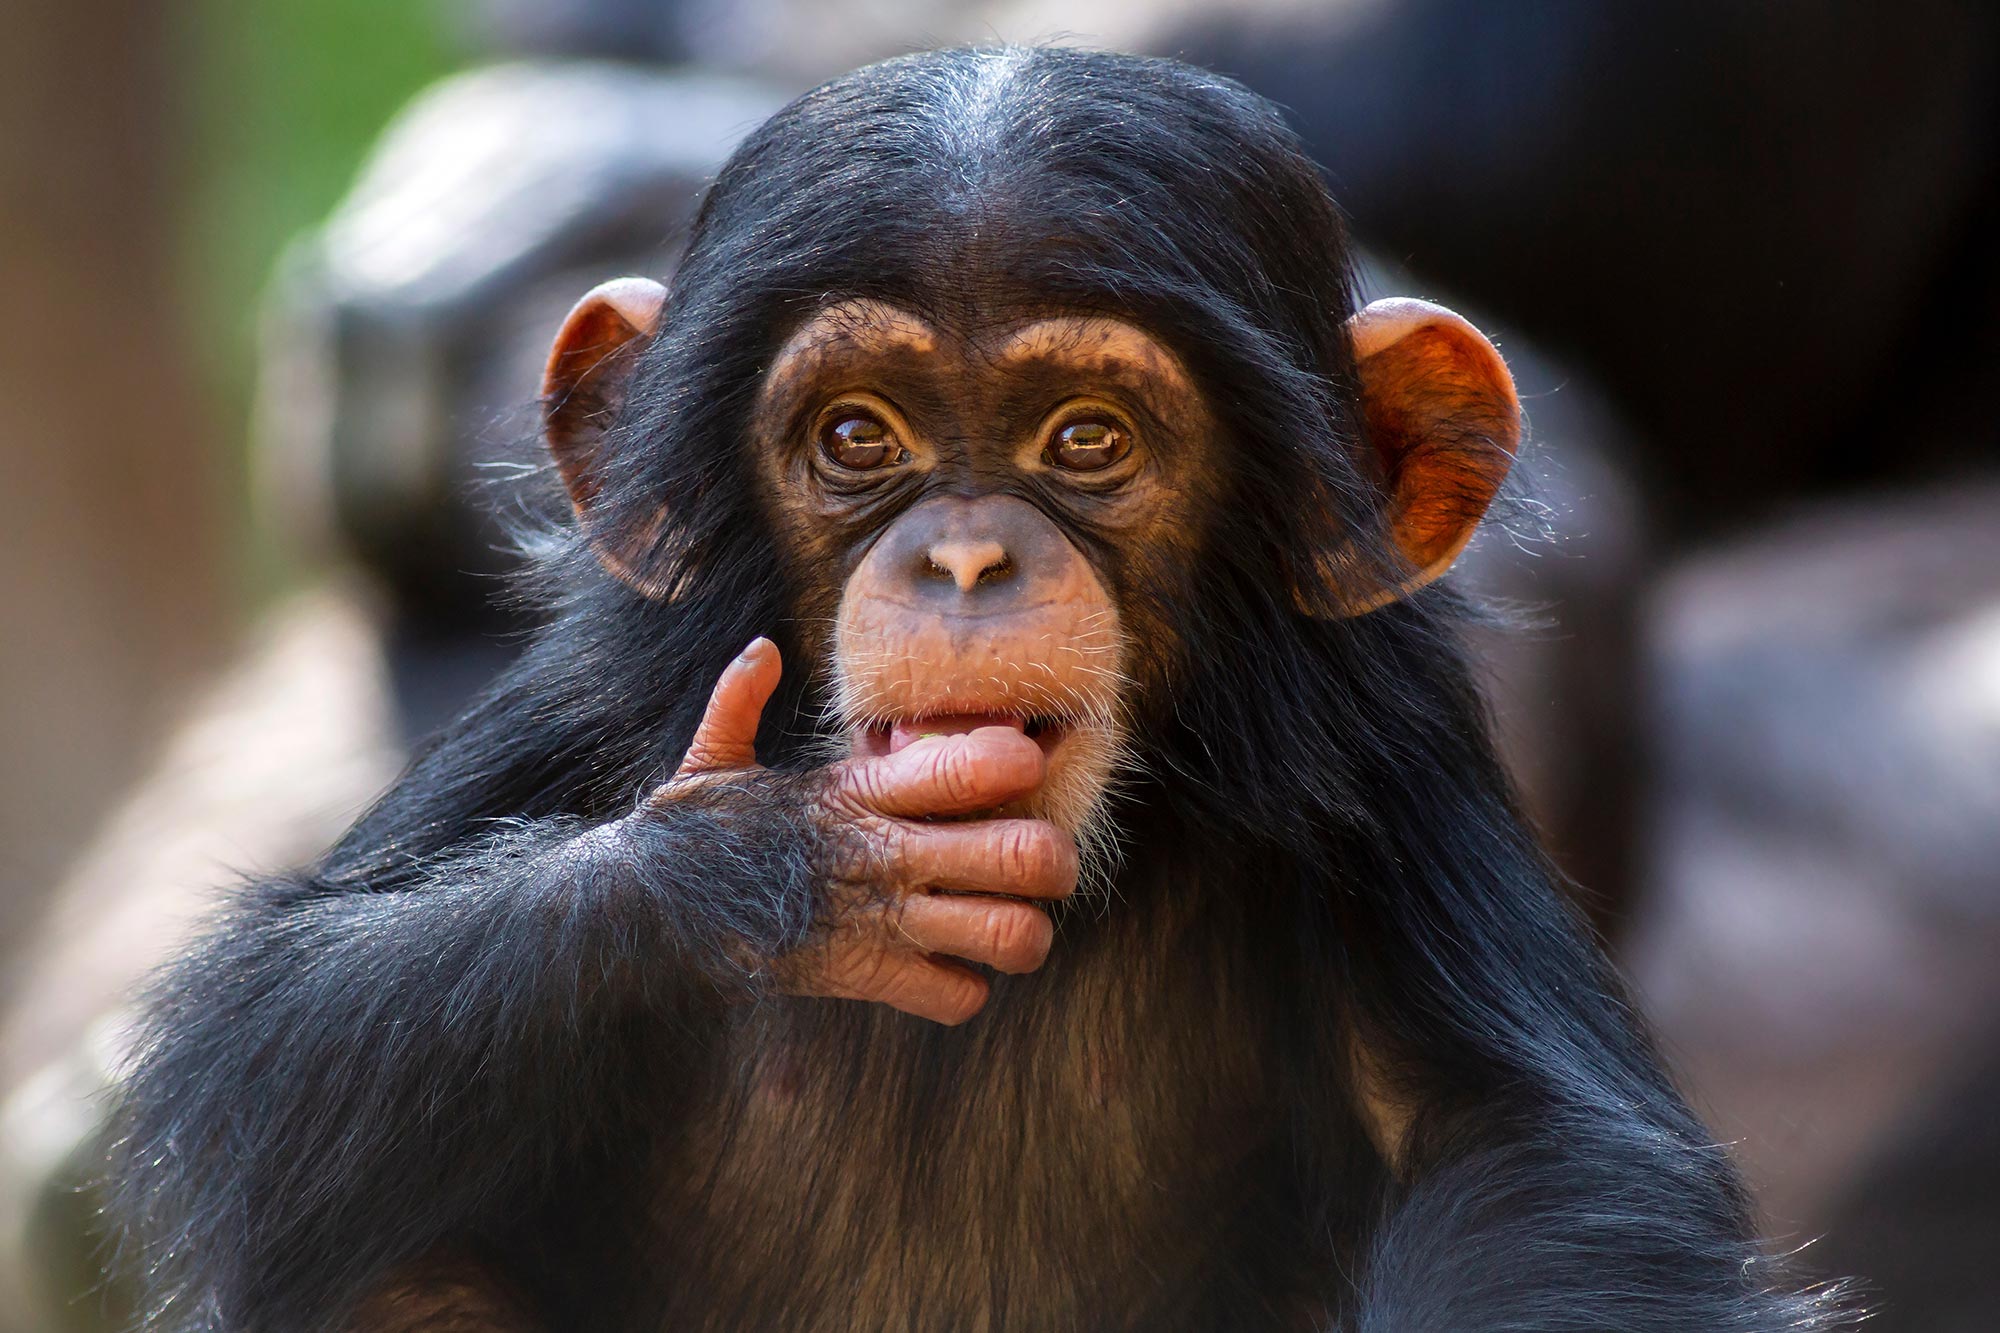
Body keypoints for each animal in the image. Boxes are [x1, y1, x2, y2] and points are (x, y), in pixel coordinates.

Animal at [110, 46, 1856, 1332]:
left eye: (1087, 438)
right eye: (857, 436)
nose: (961, 558)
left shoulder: (1391, 764)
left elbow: (1529, 1145)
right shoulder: (591, 700)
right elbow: (264, 1033)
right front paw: (795, 861)